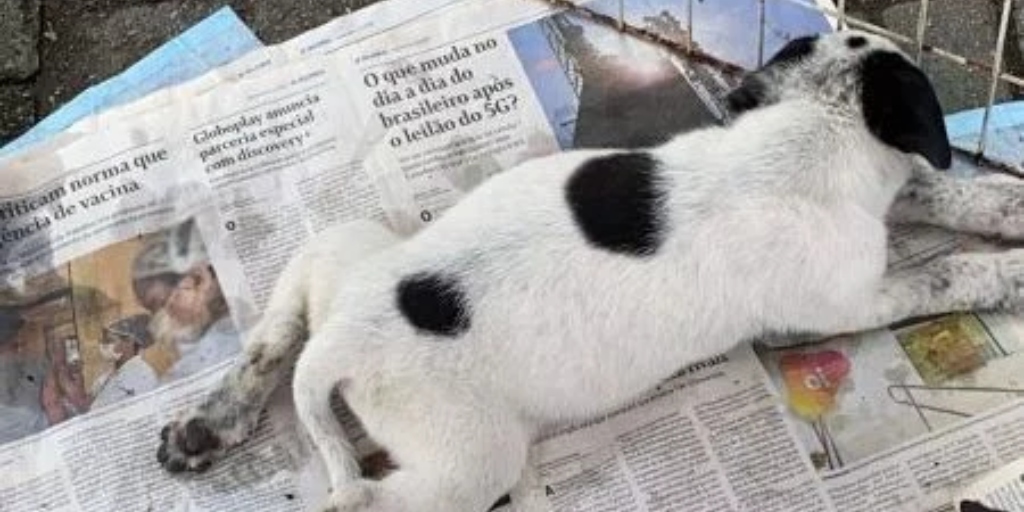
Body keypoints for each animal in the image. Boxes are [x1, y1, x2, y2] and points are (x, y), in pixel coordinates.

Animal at [155, 32, 1024, 512]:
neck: (816, 125)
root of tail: (344, 344)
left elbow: (938, 190)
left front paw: (1008, 206)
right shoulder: (837, 305)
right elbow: (942, 276)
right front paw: (1007, 275)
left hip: (344, 247)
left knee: (275, 335)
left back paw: (208, 423)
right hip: (472, 458)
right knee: (365, 497)